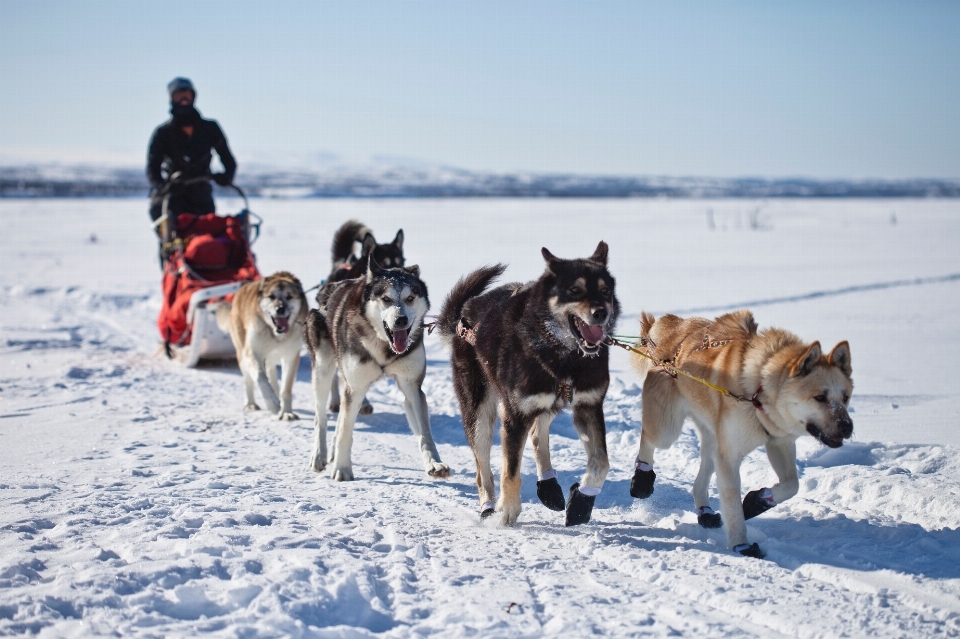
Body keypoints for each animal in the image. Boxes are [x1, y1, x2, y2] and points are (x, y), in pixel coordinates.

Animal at [218, 270, 308, 420]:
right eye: (271, 296)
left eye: (289, 296)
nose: (280, 309)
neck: (275, 335)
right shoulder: (252, 353)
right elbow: (261, 378)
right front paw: (273, 404)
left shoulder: (290, 356)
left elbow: (286, 388)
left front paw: (286, 412)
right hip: (241, 353)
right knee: (248, 380)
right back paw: (250, 404)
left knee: (271, 373)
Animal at [306, 255, 452, 480]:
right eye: (386, 299)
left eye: (410, 298)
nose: (401, 320)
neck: (384, 346)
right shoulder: (356, 388)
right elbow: (345, 431)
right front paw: (342, 469)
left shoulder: (412, 387)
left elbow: (425, 433)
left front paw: (434, 463)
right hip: (322, 370)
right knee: (320, 417)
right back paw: (319, 454)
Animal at [436, 242, 620, 528]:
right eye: (574, 290)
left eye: (604, 291)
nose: (601, 313)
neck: (564, 356)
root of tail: (464, 314)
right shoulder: (515, 415)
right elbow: (510, 472)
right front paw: (507, 511)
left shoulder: (588, 406)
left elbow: (601, 462)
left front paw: (581, 501)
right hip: (479, 413)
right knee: (483, 469)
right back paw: (488, 508)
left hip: (548, 401)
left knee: (536, 435)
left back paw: (549, 487)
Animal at [632, 312, 856, 560]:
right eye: (819, 397)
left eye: (845, 397)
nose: (847, 427)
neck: (758, 392)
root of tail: (675, 326)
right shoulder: (729, 456)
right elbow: (732, 504)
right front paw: (741, 544)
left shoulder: (779, 443)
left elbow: (792, 485)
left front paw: (755, 502)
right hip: (667, 430)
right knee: (648, 438)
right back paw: (641, 479)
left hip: (713, 440)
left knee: (701, 478)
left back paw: (705, 511)